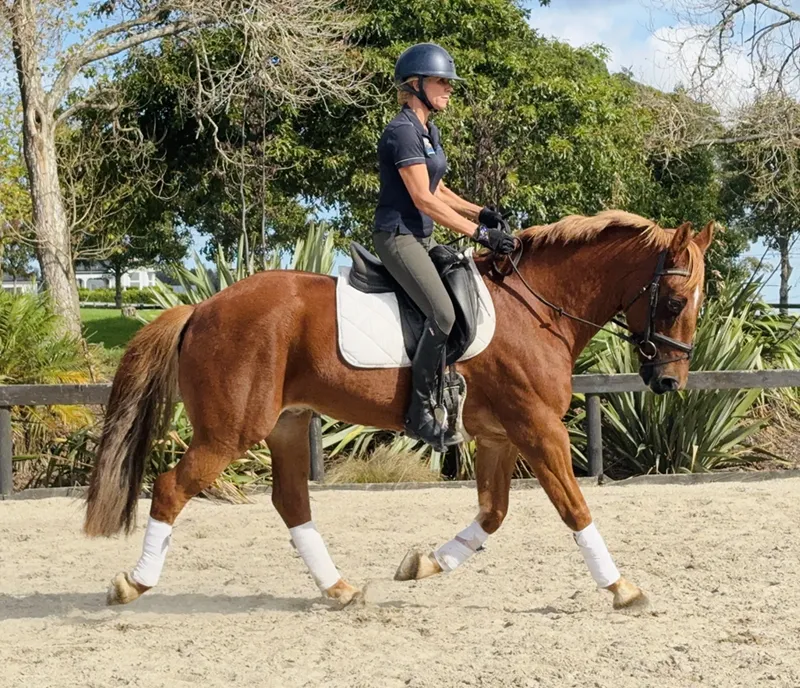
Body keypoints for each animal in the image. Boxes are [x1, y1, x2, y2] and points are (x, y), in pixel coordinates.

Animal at [84, 210, 713, 610]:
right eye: (674, 301)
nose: (668, 381)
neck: (535, 310)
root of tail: (201, 307)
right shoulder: (538, 429)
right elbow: (574, 508)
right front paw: (622, 588)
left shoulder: (498, 437)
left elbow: (492, 514)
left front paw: (424, 564)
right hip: (230, 432)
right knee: (172, 488)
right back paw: (132, 584)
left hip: (287, 424)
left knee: (291, 503)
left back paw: (339, 589)